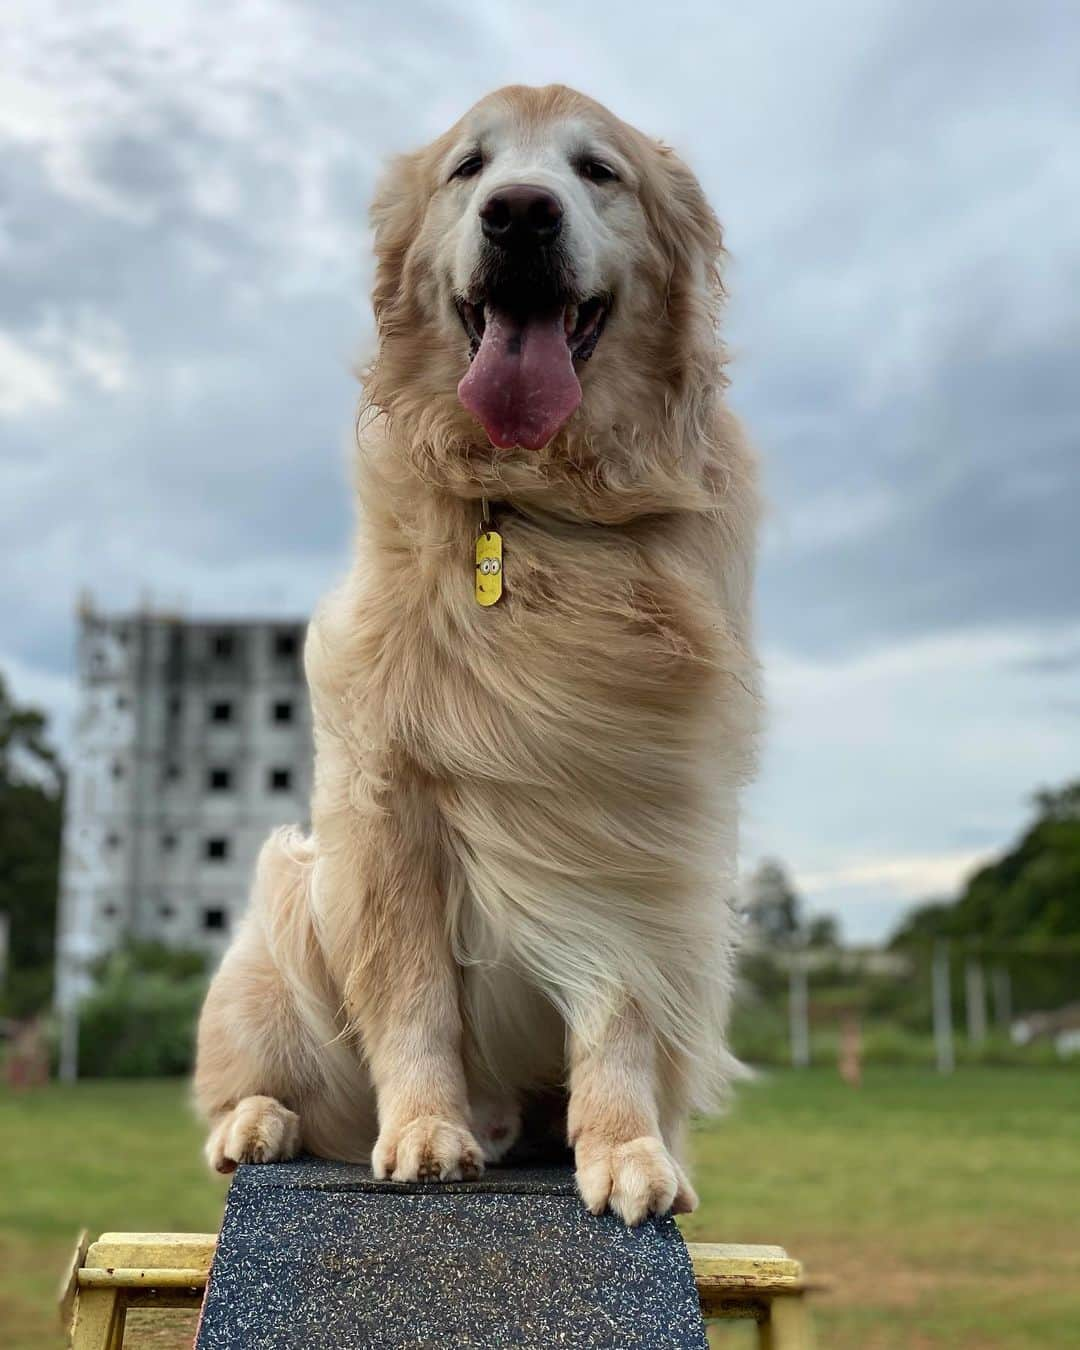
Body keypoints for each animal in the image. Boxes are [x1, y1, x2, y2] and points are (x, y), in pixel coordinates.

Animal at [198, 81, 761, 1225]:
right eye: (471, 167)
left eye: (597, 170)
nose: (521, 214)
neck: (537, 507)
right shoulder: (387, 803)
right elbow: (413, 996)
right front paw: (423, 1130)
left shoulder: (642, 810)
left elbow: (622, 1004)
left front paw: (626, 1148)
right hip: (282, 912)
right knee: (259, 1085)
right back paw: (258, 1123)